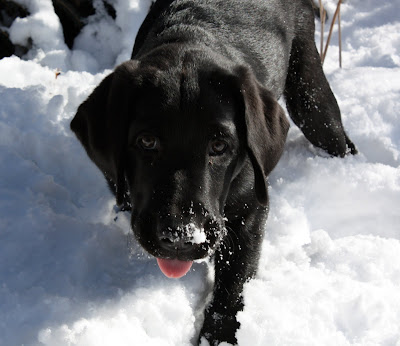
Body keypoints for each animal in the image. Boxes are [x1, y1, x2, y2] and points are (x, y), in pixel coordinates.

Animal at [69, 0, 356, 344]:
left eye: (219, 145)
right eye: (147, 141)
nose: (181, 236)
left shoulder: (249, 207)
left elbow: (234, 281)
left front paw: (218, 335)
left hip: (311, 97)